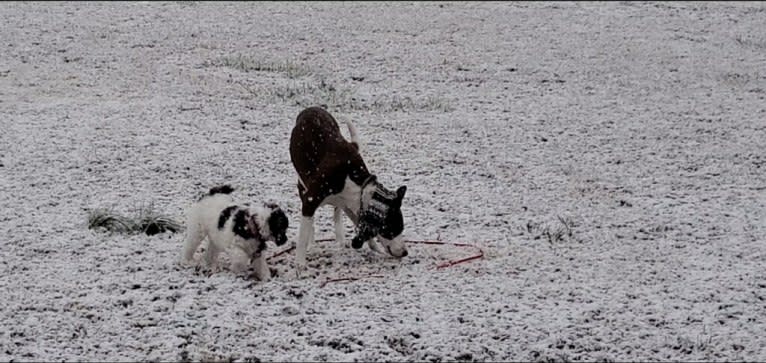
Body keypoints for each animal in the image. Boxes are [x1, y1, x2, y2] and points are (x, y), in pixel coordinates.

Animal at [290, 105, 412, 270]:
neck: (354, 182)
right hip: (302, 184)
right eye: (394, 229)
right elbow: (303, 235)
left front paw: (376, 249)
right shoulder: (310, 200)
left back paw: (341, 239)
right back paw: (313, 244)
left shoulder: (351, 205)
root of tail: (310, 108)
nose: (405, 252)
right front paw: (300, 263)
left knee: (336, 214)